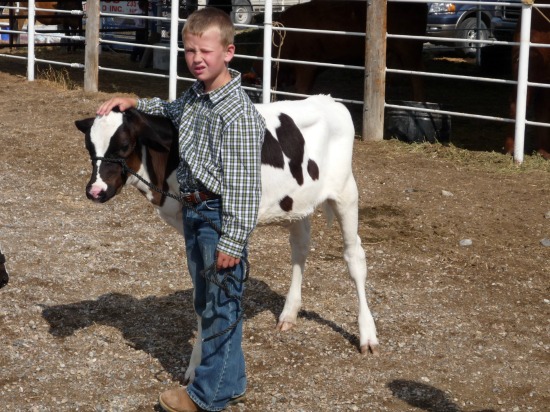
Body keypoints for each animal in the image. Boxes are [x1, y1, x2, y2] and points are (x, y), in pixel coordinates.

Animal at [76, 95, 380, 374]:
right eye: (90, 147)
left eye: (124, 146)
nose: (95, 191)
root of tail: (328, 100)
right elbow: (200, 297)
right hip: (297, 202)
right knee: (300, 247)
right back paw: (289, 313)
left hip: (345, 192)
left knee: (354, 257)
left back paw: (367, 334)